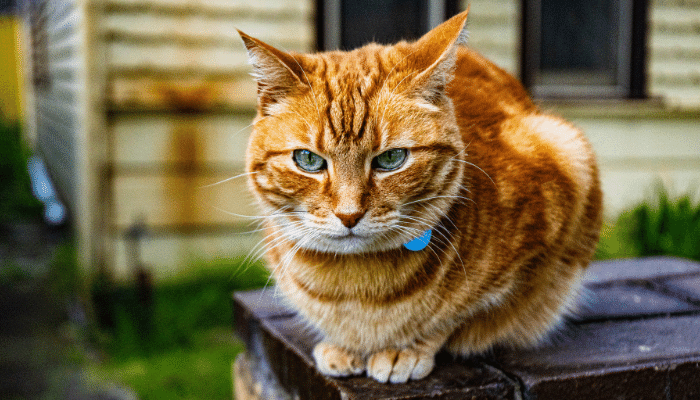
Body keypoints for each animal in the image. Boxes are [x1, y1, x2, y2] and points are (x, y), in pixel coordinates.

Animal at [239, 10, 600, 384]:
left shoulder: (562, 173)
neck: (356, 290)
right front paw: (343, 347)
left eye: (391, 159)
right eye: (308, 160)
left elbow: (456, 317)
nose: (349, 215)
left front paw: (407, 349)